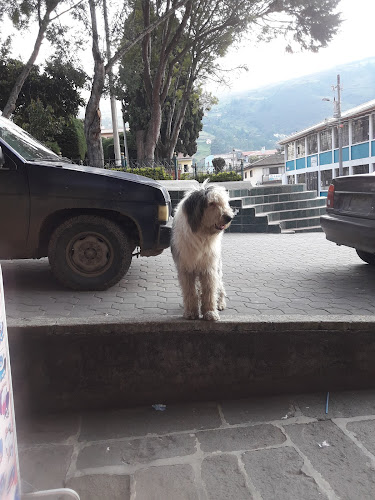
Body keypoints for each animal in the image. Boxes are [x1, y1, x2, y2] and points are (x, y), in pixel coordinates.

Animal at [173, 180, 235, 320]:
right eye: (211, 203)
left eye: (224, 202)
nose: (229, 217)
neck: (202, 234)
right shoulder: (186, 268)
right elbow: (190, 291)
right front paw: (191, 312)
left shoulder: (209, 268)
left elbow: (209, 291)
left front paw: (210, 312)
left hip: (217, 267)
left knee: (220, 287)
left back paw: (220, 303)